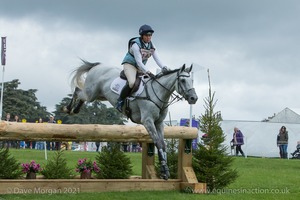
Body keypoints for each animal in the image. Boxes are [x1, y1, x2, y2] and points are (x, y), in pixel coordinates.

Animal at [63, 61, 198, 180]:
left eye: (192, 80)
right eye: (183, 80)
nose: (194, 98)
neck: (158, 93)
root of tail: (98, 66)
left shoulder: (159, 123)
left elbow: (163, 145)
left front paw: (165, 171)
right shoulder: (148, 121)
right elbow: (158, 143)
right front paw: (164, 171)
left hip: (100, 96)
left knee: (81, 95)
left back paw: (75, 109)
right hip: (91, 93)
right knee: (78, 90)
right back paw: (68, 108)